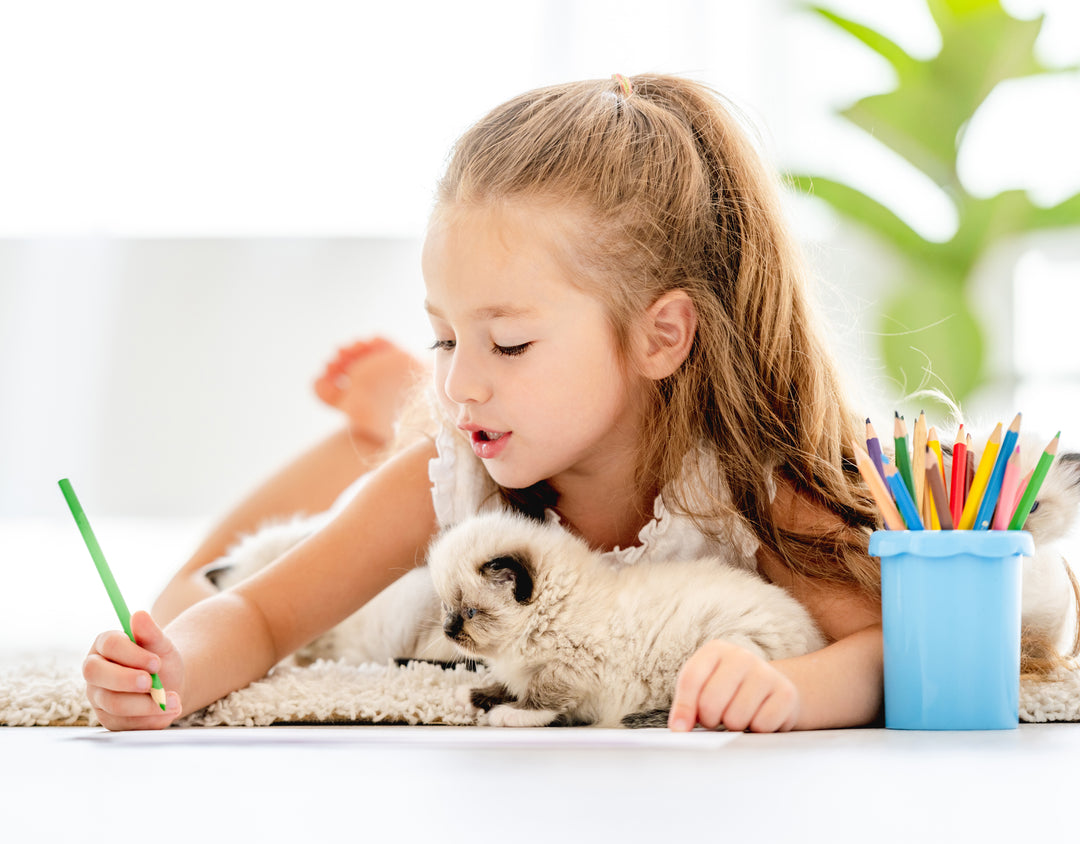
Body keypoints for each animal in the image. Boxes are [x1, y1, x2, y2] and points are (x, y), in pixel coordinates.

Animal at [425, 510, 820, 726]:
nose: (447, 630)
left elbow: (542, 697)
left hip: (724, 648)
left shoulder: (572, 667)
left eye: (471, 613)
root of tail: (815, 637)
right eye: (446, 608)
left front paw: (510, 714)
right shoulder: (523, 669)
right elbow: (504, 685)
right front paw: (469, 694)